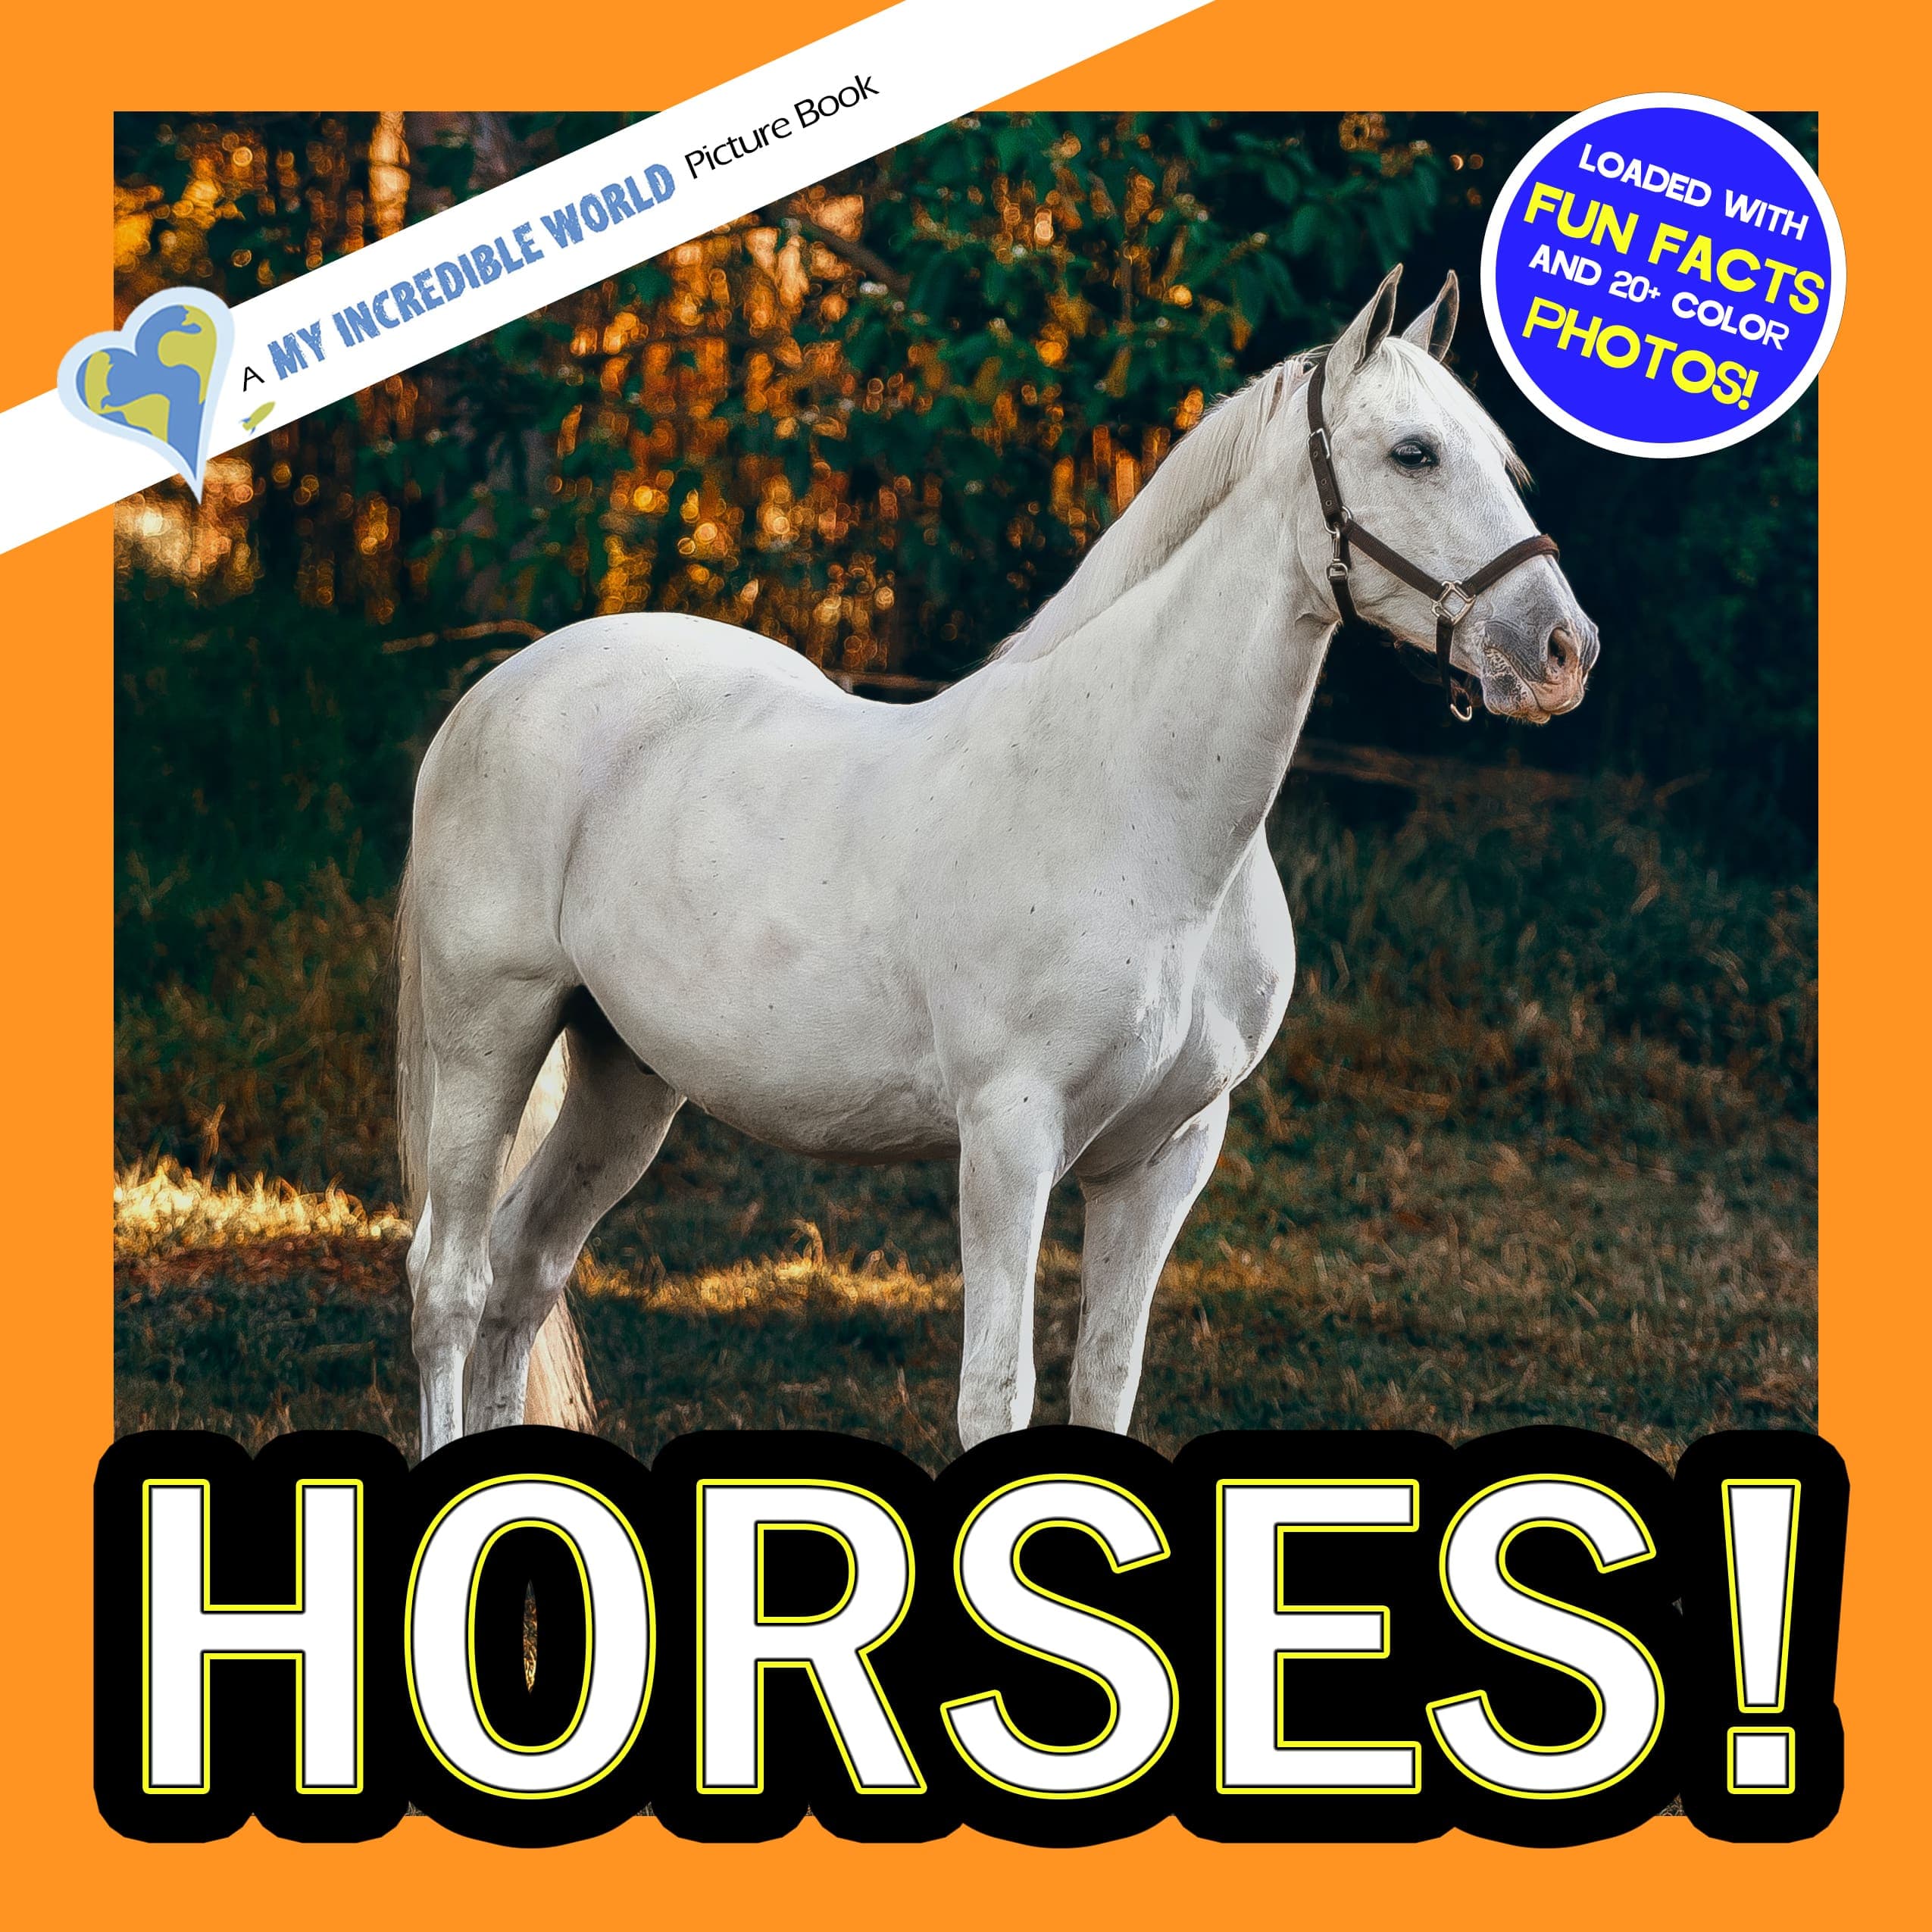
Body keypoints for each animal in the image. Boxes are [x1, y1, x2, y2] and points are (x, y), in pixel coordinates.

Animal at [395, 265, 1600, 1460]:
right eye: (1413, 452)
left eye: (1498, 460)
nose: (1560, 651)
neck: (1139, 815)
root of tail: (494, 692)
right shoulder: (1011, 1138)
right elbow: (996, 1393)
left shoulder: (1166, 1156)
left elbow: (1106, 1378)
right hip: (490, 1036)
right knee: (451, 1281)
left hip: (626, 1074)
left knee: (525, 1270)